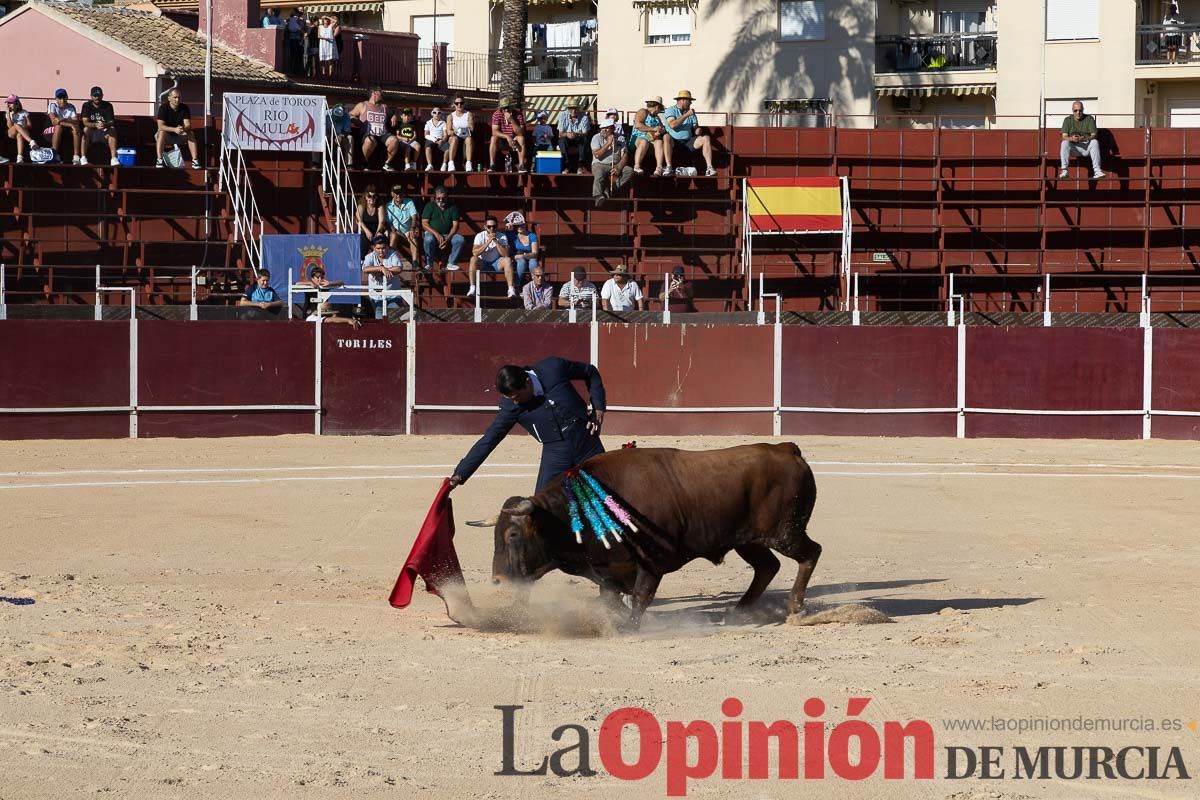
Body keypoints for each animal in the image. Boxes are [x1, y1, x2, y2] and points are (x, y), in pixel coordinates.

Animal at [492, 441, 820, 628]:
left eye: (512, 534)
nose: (497, 580)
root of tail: (788, 450)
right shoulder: (607, 569)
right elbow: (609, 599)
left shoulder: (652, 562)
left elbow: (640, 595)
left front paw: (631, 626)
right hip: (748, 541)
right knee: (767, 566)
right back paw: (738, 612)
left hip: (785, 533)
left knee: (810, 553)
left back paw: (795, 607)